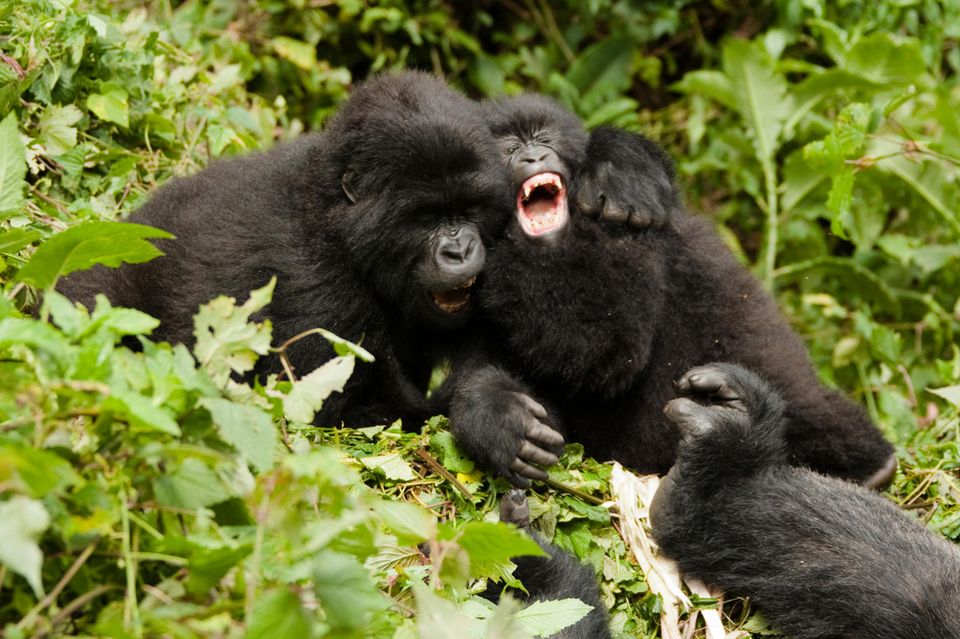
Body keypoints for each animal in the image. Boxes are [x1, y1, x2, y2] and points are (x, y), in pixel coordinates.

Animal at [58, 70, 516, 428]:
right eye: (425, 217)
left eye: (469, 208)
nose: (459, 251)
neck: (331, 215)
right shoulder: (315, 280)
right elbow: (354, 408)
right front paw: (494, 413)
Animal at [446, 97, 896, 490]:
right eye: (509, 147)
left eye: (545, 138)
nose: (534, 157)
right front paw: (498, 415)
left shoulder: (624, 219)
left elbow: (604, 347)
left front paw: (618, 163)